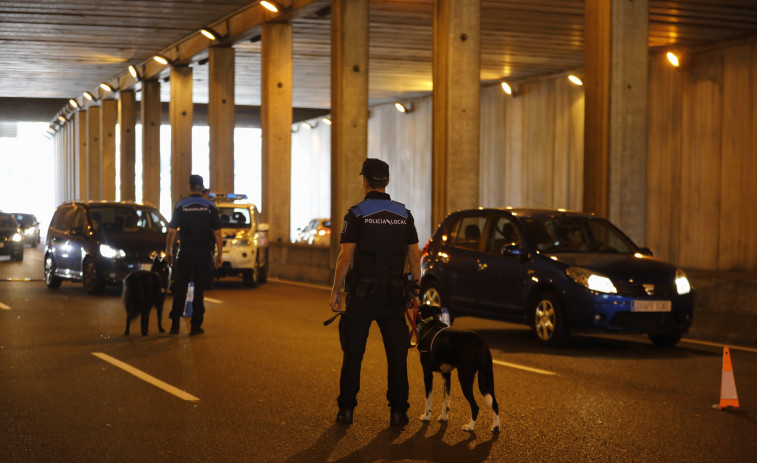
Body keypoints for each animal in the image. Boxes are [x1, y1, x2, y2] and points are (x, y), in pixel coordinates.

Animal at [416, 306, 500, 434]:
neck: (429, 324)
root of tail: (481, 344)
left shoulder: (427, 374)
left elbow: (428, 399)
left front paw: (426, 416)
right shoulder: (446, 374)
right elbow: (446, 399)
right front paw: (444, 417)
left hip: (465, 377)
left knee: (475, 406)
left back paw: (470, 427)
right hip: (488, 377)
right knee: (494, 403)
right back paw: (495, 426)